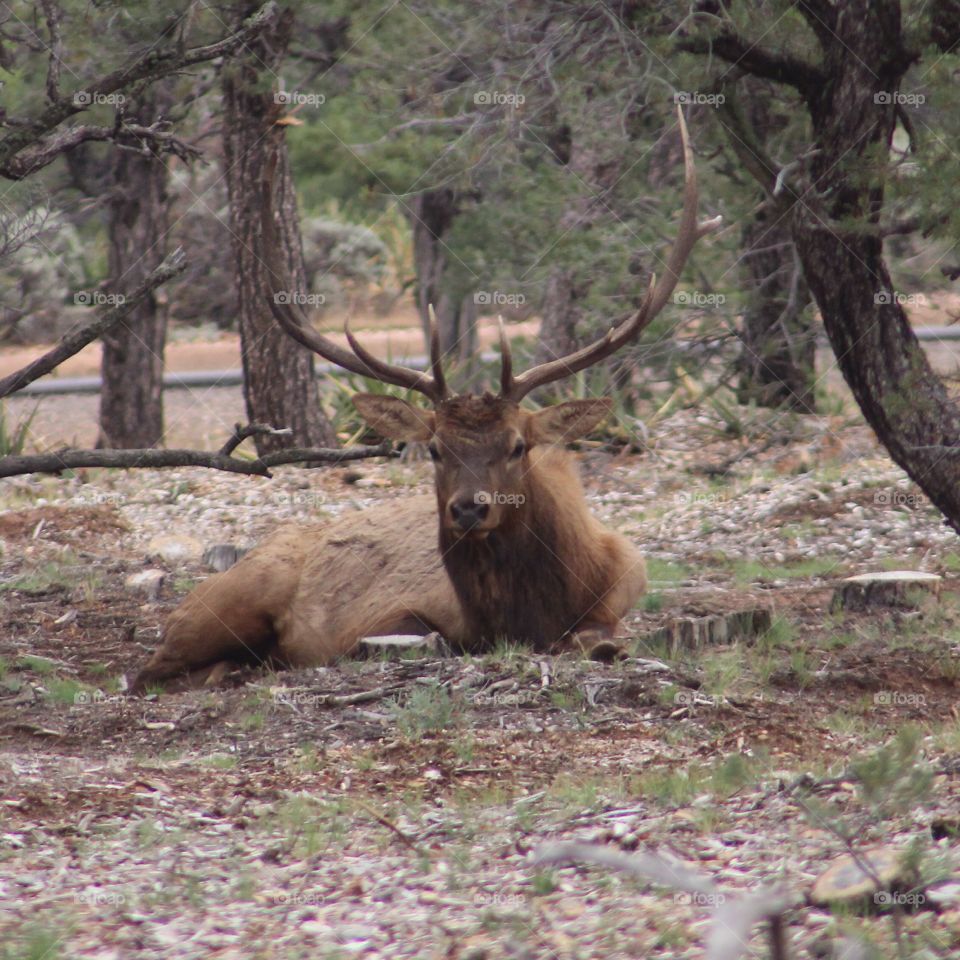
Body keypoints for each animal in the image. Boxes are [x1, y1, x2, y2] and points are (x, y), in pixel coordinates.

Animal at [131, 109, 720, 692]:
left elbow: (599, 638)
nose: (469, 507)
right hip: (232, 598)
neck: (532, 612)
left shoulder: (621, 592)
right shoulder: (388, 615)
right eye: (435, 448)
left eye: (518, 446)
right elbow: (420, 636)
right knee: (148, 671)